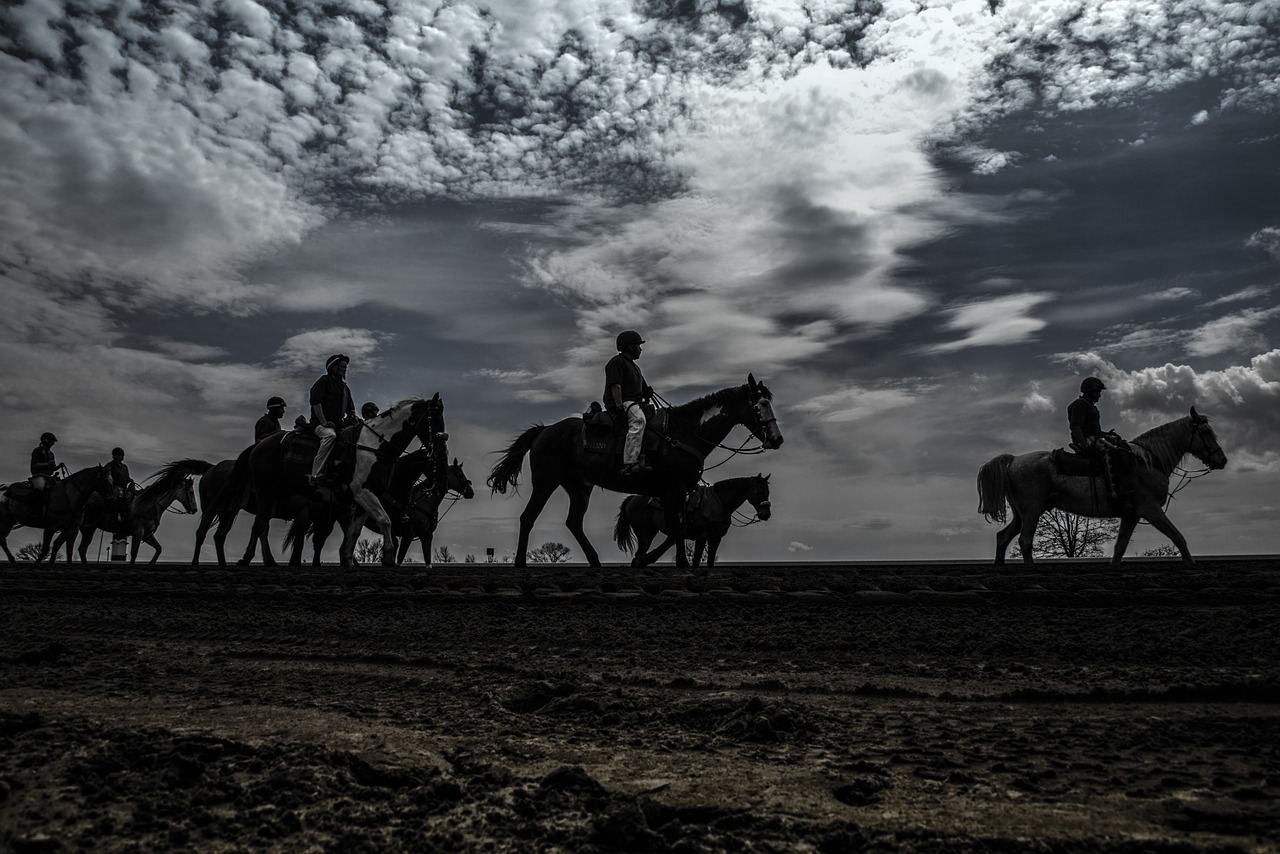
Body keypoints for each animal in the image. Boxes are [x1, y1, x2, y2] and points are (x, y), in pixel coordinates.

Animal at [611, 473, 768, 568]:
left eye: (768, 491)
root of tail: (633, 498)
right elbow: (697, 560)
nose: (766, 514)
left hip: (652, 531)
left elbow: (710, 562)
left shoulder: (716, 538)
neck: (719, 502)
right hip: (642, 531)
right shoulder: (702, 537)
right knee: (640, 553)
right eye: (760, 491)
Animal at [977, 409, 1228, 568]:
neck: (1148, 461)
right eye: (1206, 433)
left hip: (1022, 514)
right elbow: (1178, 536)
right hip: (1031, 511)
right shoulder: (1151, 509)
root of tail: (1013, 460)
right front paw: (1192, 564)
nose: (1222, 460)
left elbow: (1120, 546)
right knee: (1025, 541)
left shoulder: (1132, 514)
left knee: (1003, 537)